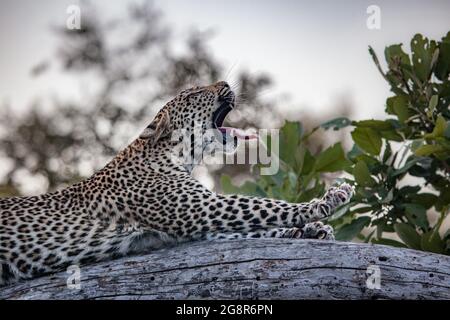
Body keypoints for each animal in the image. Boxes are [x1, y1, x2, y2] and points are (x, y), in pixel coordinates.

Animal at [0, 81, 354, 286]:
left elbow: (254, 229)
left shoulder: (192, 224)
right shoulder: (202, 209)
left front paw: (311, 230)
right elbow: (263, 206)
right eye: (194, 93)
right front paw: (328, 201)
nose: (226, 82)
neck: (177, 155)